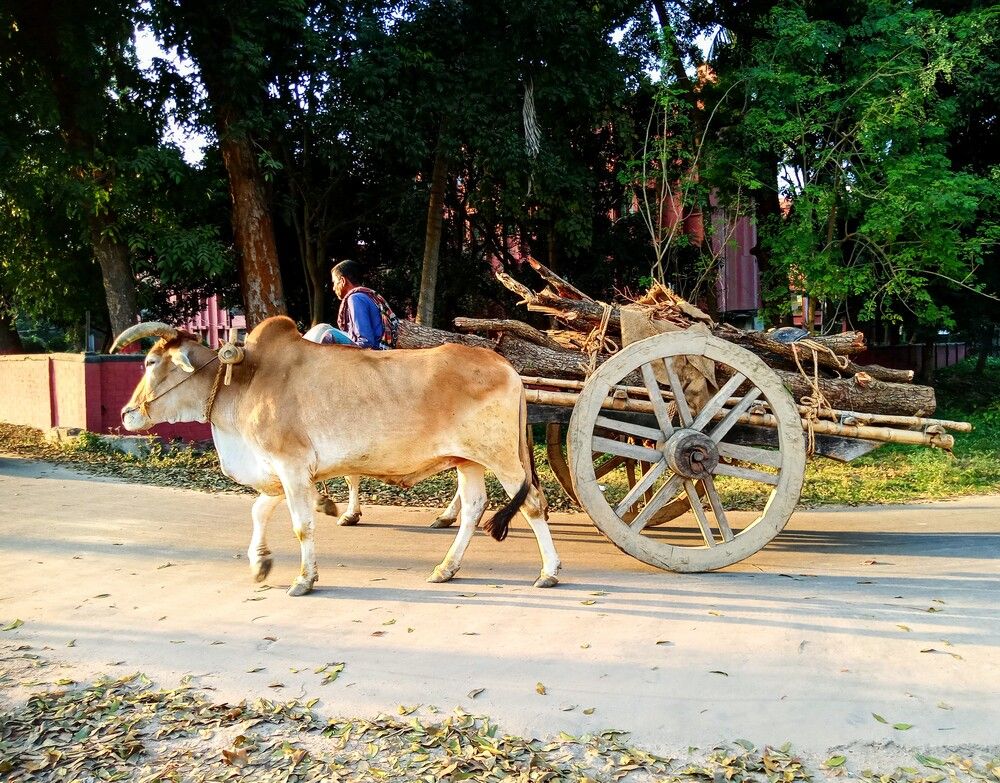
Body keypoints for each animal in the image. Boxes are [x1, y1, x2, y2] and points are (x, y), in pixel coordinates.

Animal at [111, 317, 561, 596]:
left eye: (150, 361)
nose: (126, 413)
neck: (244, 381)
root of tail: (508, 367)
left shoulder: (291, 466)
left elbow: (301, 526)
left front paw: (304, 579)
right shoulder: (278, 470)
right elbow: (259, 511)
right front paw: (260, 564)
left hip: (501, 457)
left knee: (532, 505)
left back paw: (549, 572)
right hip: (468, 461)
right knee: (472, 509)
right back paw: (445, 568)